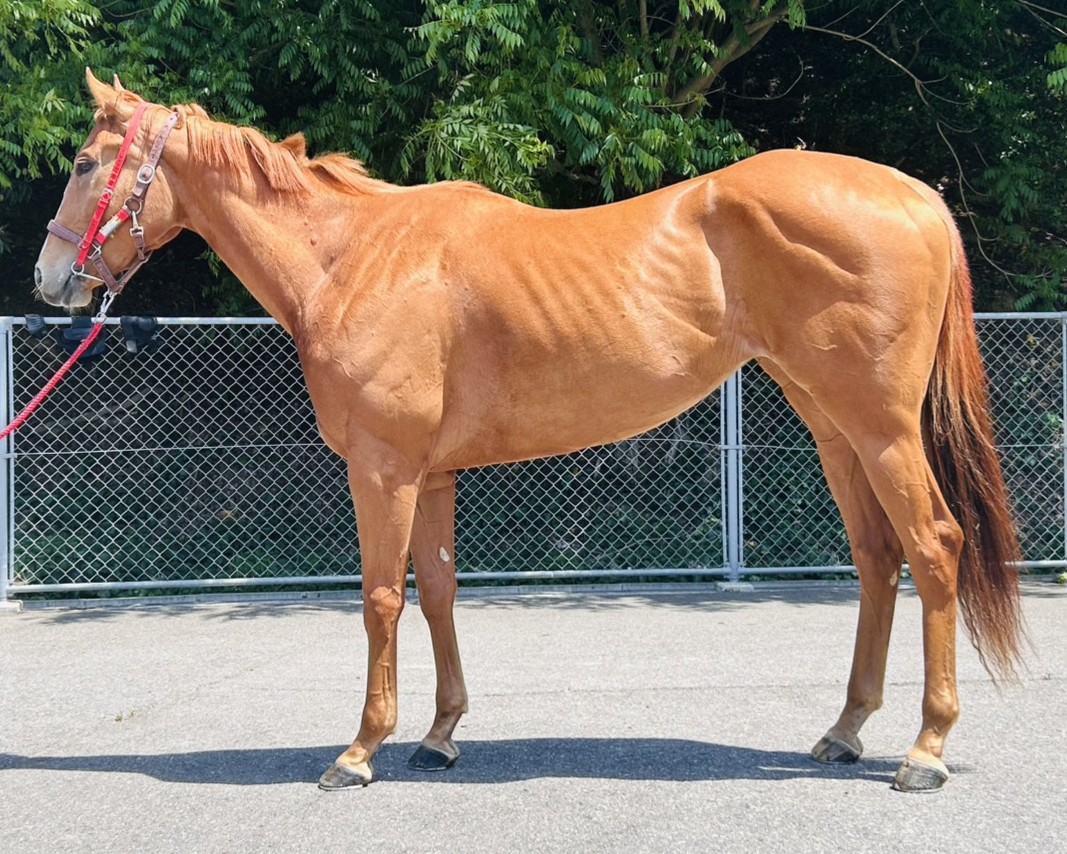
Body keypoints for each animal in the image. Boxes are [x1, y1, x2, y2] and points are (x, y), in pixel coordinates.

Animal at [34, 70, 1022, 793]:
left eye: (83, 163)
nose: (49, 282)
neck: (352, 258)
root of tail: (914, 195)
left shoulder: (382, 471)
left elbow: (380, 599)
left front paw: (358, 752)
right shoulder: (429, 476)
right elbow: (436, 592)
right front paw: (437, 736)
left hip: (881, 429)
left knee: (932, 547)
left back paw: (924, 751)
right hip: (833, 428)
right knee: (876, 559)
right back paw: (844, 730)